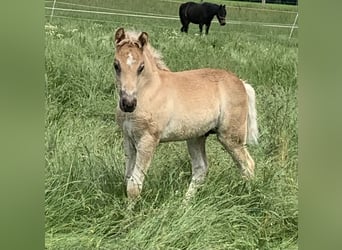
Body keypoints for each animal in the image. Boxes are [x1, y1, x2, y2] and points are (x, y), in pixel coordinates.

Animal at [113, 27, 258, 201]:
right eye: (116, 65)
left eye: (141, 67)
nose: (128, 103)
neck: (148, 91)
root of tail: (242, 83)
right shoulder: (128, 137)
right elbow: (127, 179)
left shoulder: (148, 139)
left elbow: (134, 186)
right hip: (196, 136)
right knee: (201, 168)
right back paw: (185, 202)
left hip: (230, 136)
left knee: (247, 165)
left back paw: (249, 198)